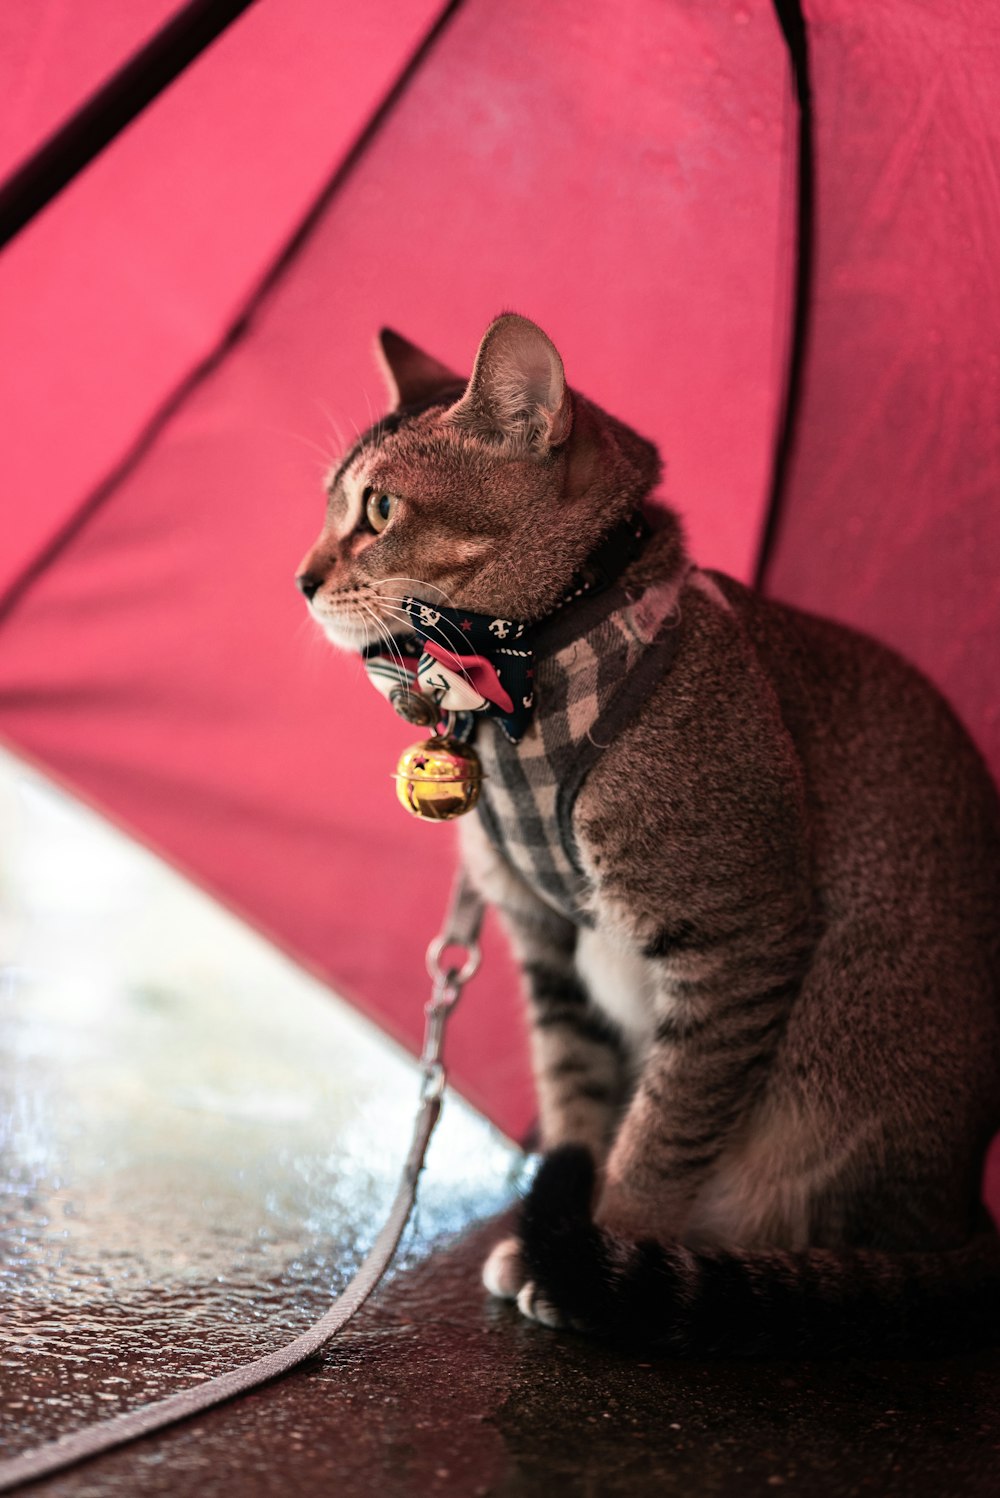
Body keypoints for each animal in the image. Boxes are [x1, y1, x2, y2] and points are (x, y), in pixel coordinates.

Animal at [299, 310, 999, 1354]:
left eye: (379, 510)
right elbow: (579, 1100)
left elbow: (664, 1129)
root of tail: (961, 1210)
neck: (529, 676)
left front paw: (604, 1248)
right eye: (334, 505)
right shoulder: (547, 944)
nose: (301, 579)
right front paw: (557, 1235)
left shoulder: (738, 938)